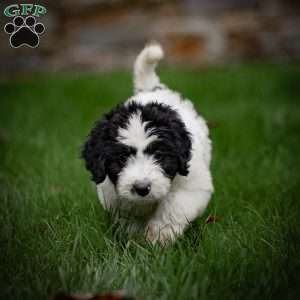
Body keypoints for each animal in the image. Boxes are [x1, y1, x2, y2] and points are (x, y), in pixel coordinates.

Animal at [82, 43, 213, 245]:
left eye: (159, 155)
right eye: (122, 158)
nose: (142, 188)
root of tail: (151, 89)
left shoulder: (192, 184)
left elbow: (173, 207)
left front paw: (158, 237)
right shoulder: (114, 195)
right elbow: (131, 217)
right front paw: (136, 240)